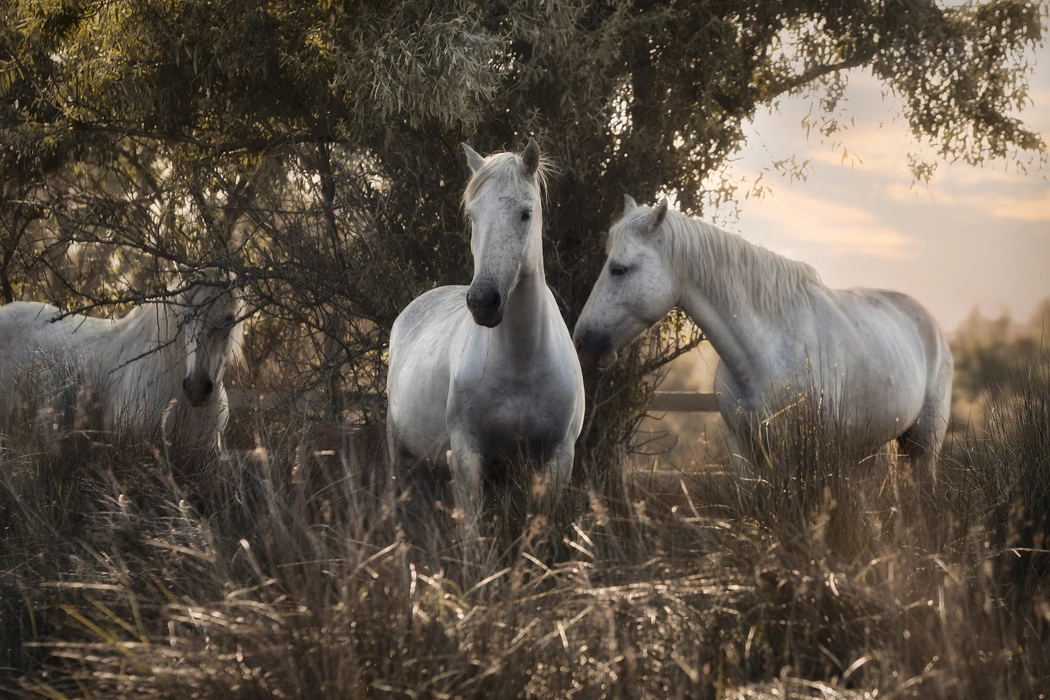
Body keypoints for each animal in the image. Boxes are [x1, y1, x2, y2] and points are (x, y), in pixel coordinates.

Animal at [386, 138, 588, 541]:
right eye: (473, 216)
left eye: (526, 214)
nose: (483, 302)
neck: (522, 363)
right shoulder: (467, 455)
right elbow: (474, 537)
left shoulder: (557, 458)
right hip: (402, 457)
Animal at [571, 194, 957, 484]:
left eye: (619, 269)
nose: (583, 342)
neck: (765, 352)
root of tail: (931, 324)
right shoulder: (744, 450)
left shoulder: (801, 452)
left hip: (925, 442)